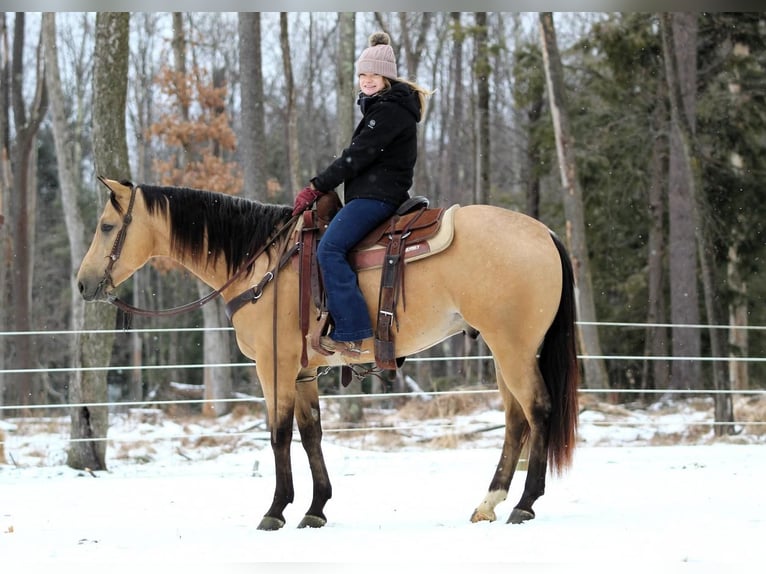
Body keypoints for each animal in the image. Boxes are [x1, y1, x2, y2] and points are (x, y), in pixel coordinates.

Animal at [78, 178, 584, 532]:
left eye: (106, 227)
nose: (83, 285)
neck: (263, 264)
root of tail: (544, 233)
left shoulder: (275, 366)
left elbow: (279, 435)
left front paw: (275, 510)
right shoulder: (304, 373)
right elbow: (311, 435)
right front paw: (316, 509)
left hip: (514, 349)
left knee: (538, 411)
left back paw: (524, 504)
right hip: (506, 352)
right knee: (516, 420)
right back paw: (489, 502)